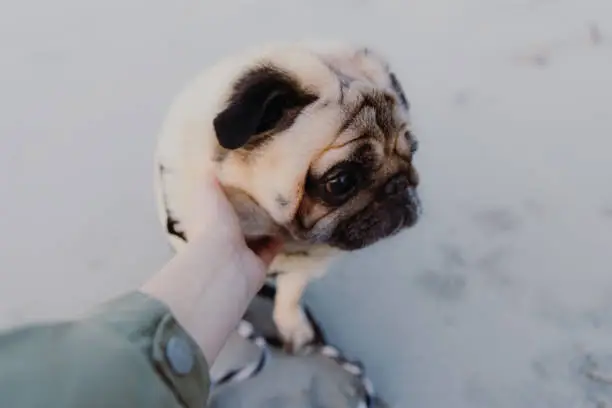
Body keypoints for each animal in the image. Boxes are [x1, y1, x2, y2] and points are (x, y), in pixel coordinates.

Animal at [153, 42, 420, 354]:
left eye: (413, 152)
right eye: (341, 181)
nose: (398, 185)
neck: (277, 230)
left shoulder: (306, 267)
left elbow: (290, 295)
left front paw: (293, 326)